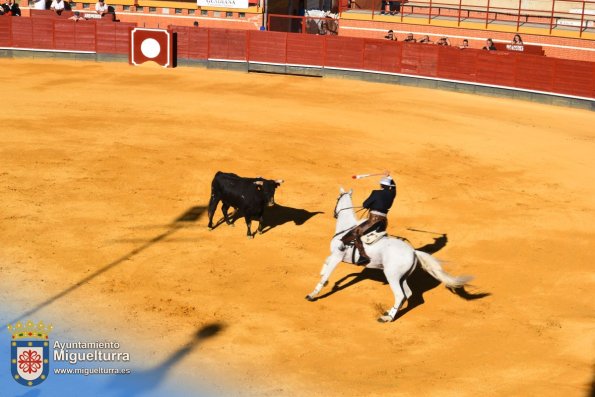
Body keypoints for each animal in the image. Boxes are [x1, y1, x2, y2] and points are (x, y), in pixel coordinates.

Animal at [308, 187, 470, 320]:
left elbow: (327, 272)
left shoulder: (338, 256)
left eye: (337, 199)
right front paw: (323, 275)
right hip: (402, 277)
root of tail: (413, 252)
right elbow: (326, 262)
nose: (334, 213)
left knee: (399, 295)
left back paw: (387, 318)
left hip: (392, 275)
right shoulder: (335, 256)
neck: (346, 227)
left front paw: (313, 294)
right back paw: (390, 312)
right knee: (407, 294)